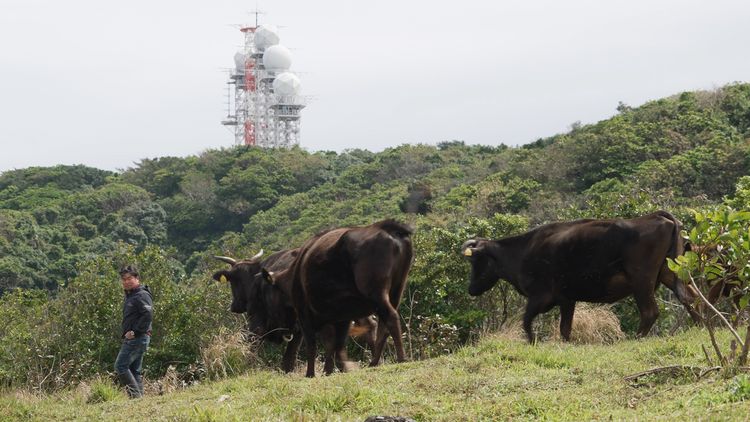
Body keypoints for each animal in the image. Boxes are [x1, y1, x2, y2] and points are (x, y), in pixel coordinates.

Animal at [266, 219, 418, 378]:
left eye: (269, 301)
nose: (273, 336)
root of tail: (385, 226)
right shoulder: (342, 315)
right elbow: (335, 344)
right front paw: (331, 370)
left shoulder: (305, 314)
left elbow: (314, 345)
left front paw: (311, 374)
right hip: (396, 289)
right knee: (383, 325)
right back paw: (374, 362)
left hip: (375, 291)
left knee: (390, 317)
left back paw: (401, 358)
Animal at [462, 211, 704, 342]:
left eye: (476, 261)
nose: (471, 289)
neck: (521, 252)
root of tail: (656, 216)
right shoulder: (566, 299)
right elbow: (565, 330)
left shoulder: (540, 297)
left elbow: (526, 321)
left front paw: (532, 342)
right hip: (670, 273)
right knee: (690, 298)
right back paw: (701, 327)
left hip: (641, 280)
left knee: (650, 312)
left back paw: (636, 338)